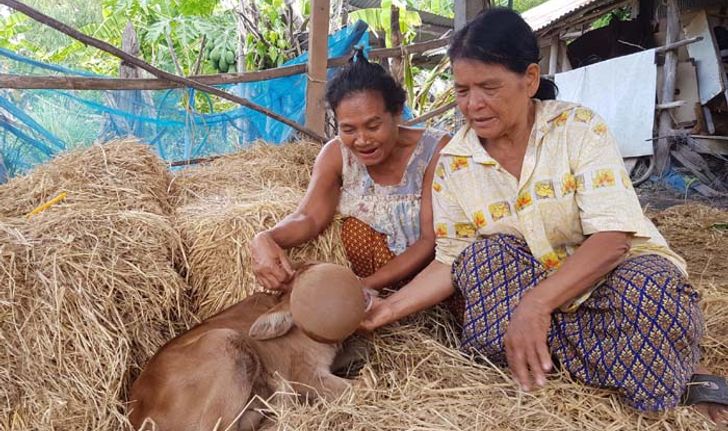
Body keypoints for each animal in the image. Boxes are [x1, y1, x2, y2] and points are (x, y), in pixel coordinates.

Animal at [128, 264, 366, 430]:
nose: (363, 292)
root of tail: (136, 415)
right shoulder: (307, 376)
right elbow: (359, 387)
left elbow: (359, 350)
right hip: (223, 342)